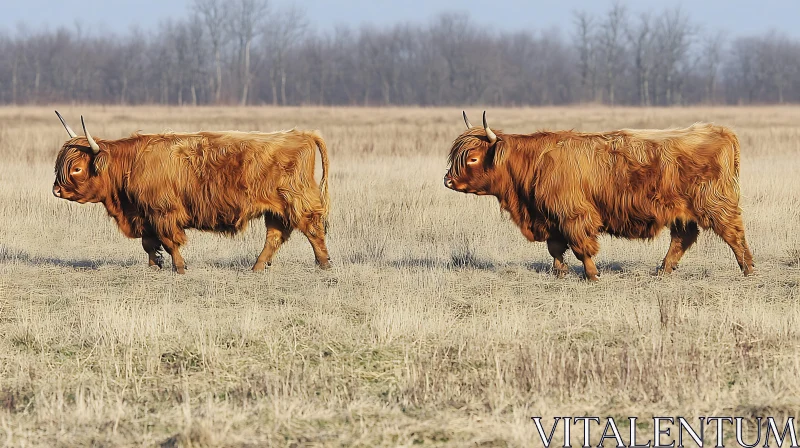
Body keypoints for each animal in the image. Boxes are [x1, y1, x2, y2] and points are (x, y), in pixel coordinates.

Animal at [51, 112, 332, 272]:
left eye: (76, 169)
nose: (56, 190)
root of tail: (302, 134)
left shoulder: (163, 212)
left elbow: (169, 242)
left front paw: (179, 268)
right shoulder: (144, 215)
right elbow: (148, 243)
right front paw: (155, 266)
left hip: (297, 201)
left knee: (313, 230)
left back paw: (324, 264)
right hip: (276, 209)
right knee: (275, 236)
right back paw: (258, 267)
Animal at [444, 112, 756, 280]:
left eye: (472, 158)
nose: (447, 180)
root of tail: (718, 130)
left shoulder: (573, 214)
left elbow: (582, 247)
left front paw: (592, 275)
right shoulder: (550, 217)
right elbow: (555, 248)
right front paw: (559, 272)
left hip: (715, 204)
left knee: (734, 233)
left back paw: (748, 269)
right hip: (681, 211)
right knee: (682, 238)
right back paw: (663, 270)